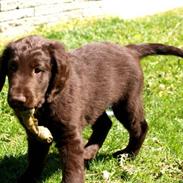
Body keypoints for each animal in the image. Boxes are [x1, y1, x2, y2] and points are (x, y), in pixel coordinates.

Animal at [0, 35, 183, 182]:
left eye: (38, 70)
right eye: (12, 67)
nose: (16, 100)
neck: (47, 102)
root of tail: (129, 49)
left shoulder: (69, 133)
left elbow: (72, 167)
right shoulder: (36, 134)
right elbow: (35, 160)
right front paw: (26, 179)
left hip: (126, 102)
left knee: (140, 126)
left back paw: (128, 154)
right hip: (94, 104)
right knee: (105, 124)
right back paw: (88, 152)